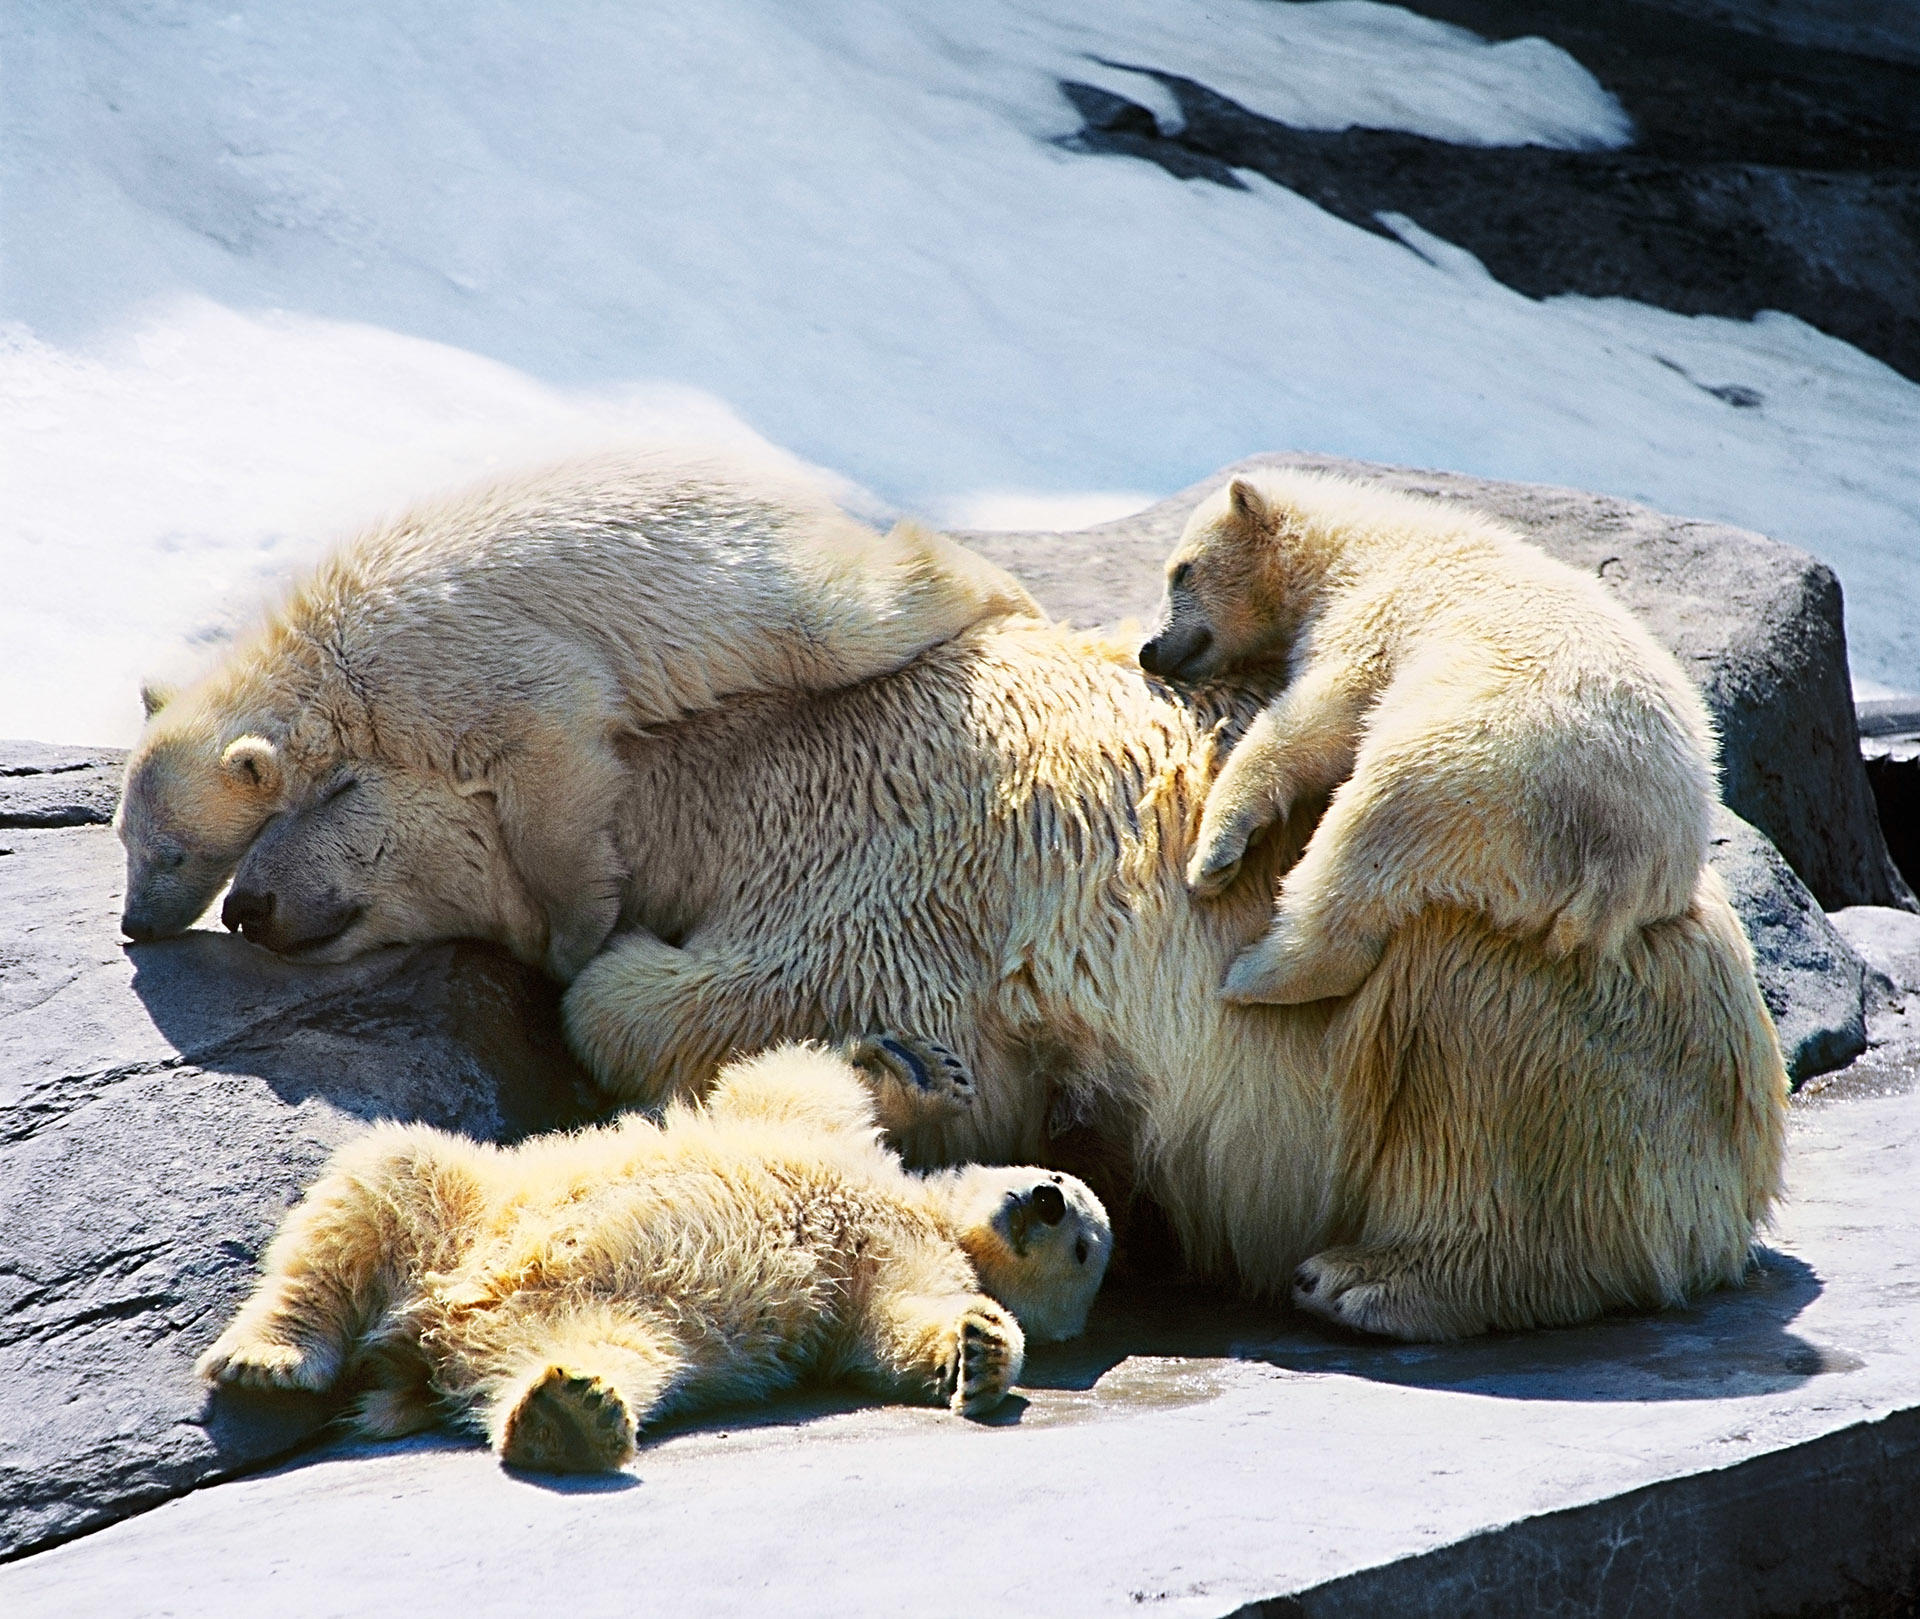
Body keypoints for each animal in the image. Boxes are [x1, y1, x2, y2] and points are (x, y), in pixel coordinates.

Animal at [116, 449, 1036, 975]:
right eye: (125, 840)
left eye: (171, 852)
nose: (133, 924)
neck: (318, 652)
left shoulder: (444, 672)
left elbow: (552, 758)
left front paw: (574, 936)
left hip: (755, 584)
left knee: (852, 616)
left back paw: (1005, 593)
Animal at [198, 1037, 1113, 1467]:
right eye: (1063, 1182)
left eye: (1082, 1248)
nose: (1045, 1198)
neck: (919, 1209)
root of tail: (428, 1336)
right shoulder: (831, 1147)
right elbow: (781, 1084)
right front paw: (915, 1066)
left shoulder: (886, 1266)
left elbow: (903, 1325)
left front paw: (983, 1350)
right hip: (465, 1215)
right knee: (384, 1178)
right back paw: (268, 1351)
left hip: (604, 1317)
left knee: (610, 1354)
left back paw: (567, 1416)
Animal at [1136, 468, 1728, 1006]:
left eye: (1181, 571)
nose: (1149, 649)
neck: (1356, 546)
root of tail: (1628, 870)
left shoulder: (1377, 612)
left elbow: (1320, 717)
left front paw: (1213, 854)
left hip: (1490, 764)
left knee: (1374, 825)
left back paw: (1251, 975)